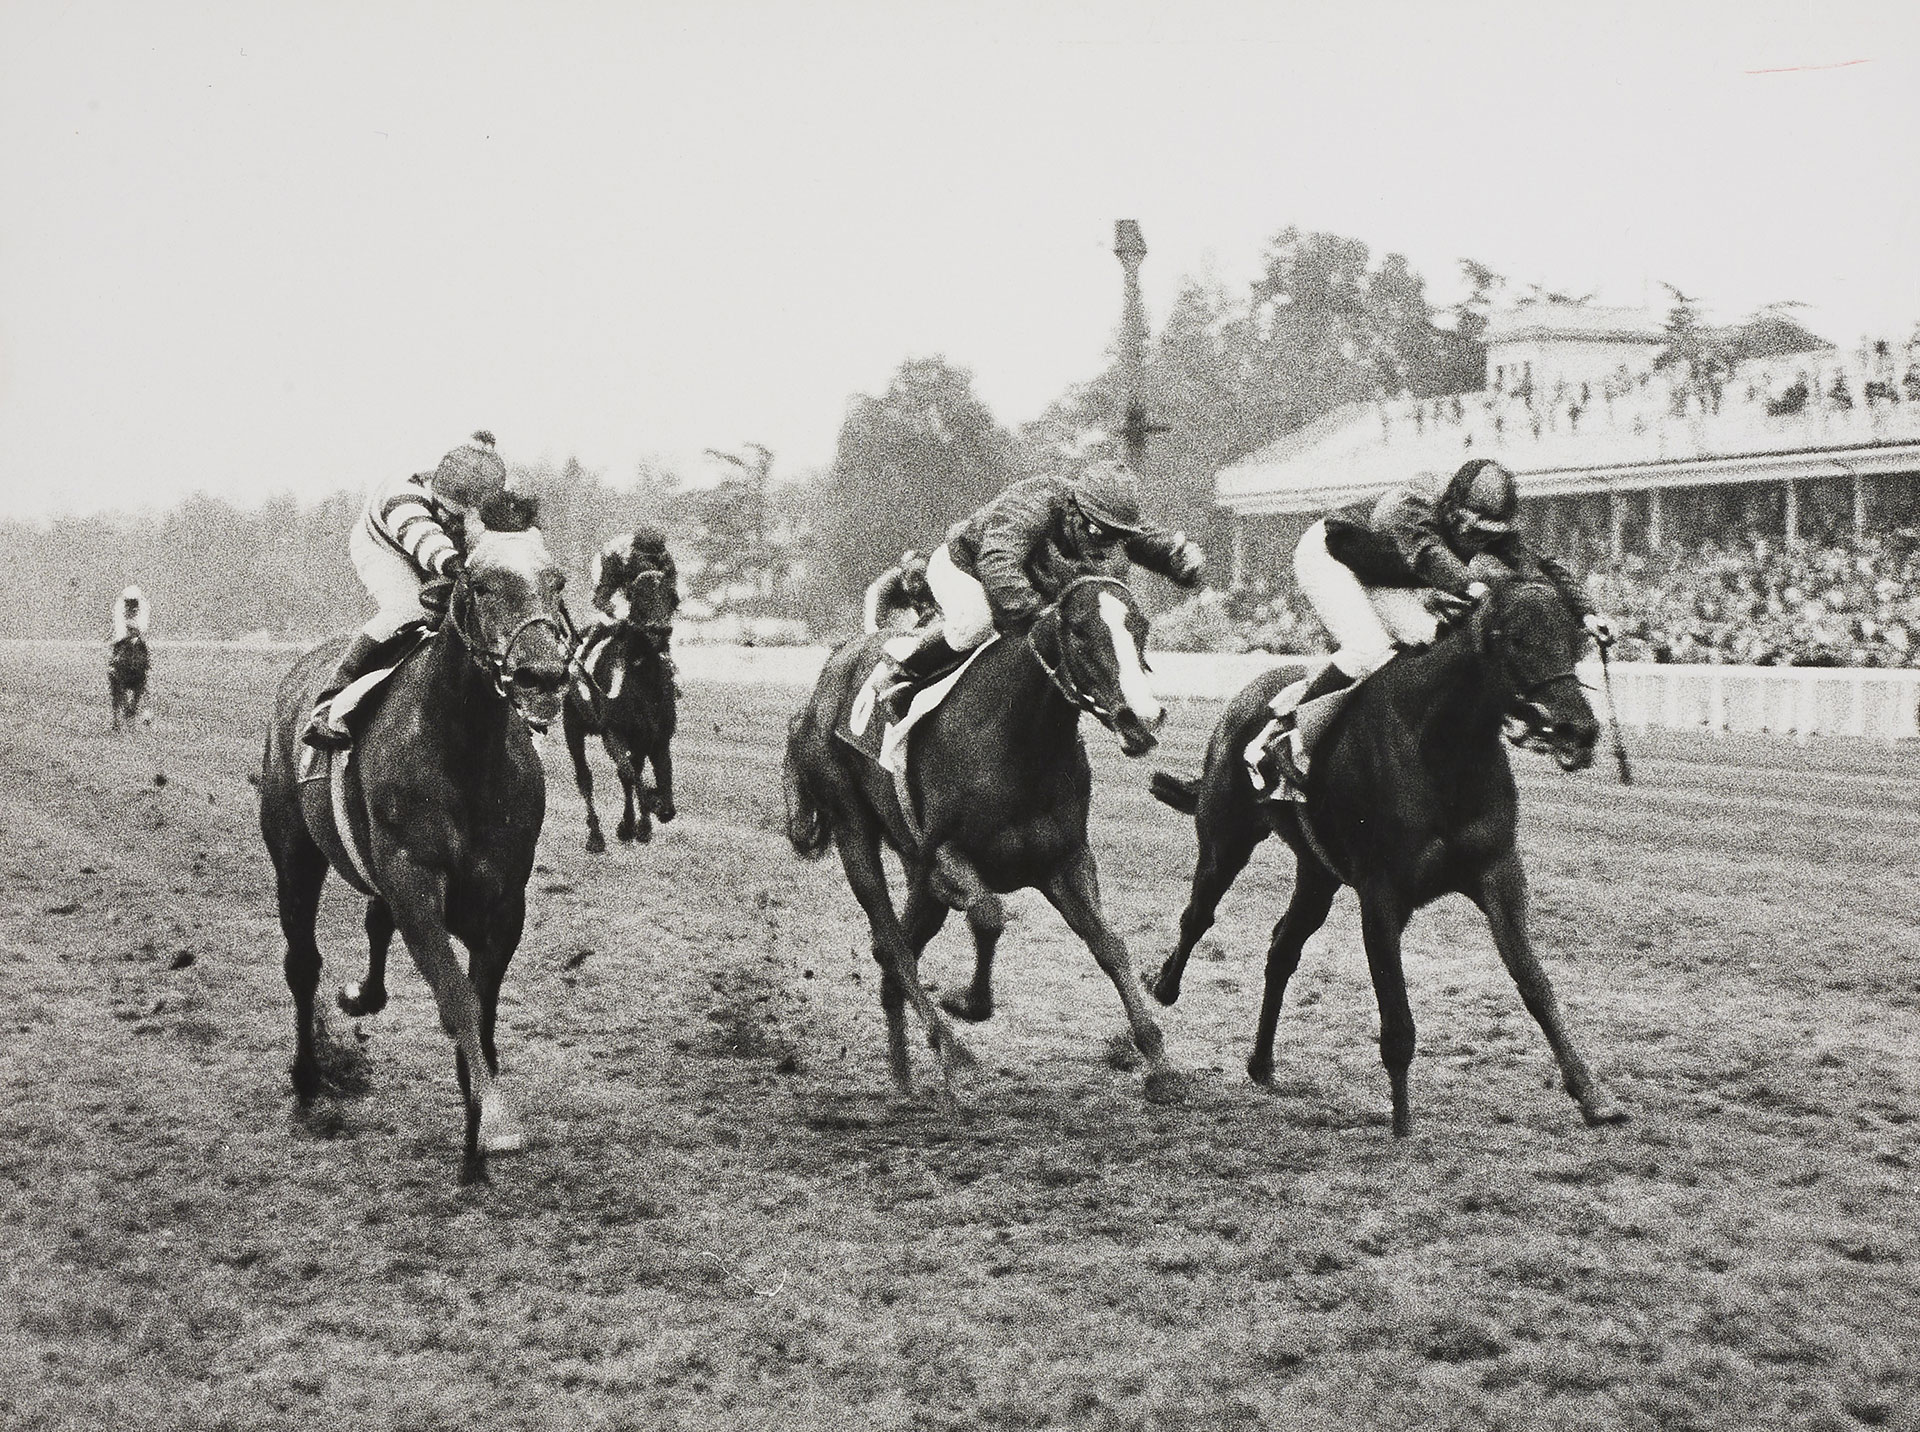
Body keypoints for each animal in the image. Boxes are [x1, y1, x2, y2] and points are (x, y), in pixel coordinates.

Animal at [257, 495, 568, 1182]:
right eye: (479, 585)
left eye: (558, 583)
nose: (540, 674)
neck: (464, 749)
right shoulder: (415, 881)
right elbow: (456, 1001)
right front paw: (493, 1125)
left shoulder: (502, 901)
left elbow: (480, 1007)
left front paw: (478, 1132)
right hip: (292, 848)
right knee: (302, 962)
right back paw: (308, 1080)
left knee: (374, 922)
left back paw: (360, 997)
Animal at [560, 556, 683, 848]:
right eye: (639, 596)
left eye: (672, 596)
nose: (661, 630)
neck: (645, 682)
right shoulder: (612, 731)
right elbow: (627, 774)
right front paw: (629, 824)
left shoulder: (658, 738)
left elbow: (662, 786)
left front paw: (647, 818)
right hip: (572, 725)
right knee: (585, 778)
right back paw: (596, 836)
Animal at [783, 575, 1182, 1097]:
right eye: (1078, 632)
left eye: (1141, 626)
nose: (1142, 718)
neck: (1018, 742)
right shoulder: (943, 855)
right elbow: (989, 915)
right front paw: (966, 1003)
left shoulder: (1065, 860)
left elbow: (1109, 944)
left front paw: (1158, 1060)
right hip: (854, 829)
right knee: (891, 941)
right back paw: (951, 1050)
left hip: (915, 873)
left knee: (896, 948)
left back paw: (903, 1077)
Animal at [1144, 575, 1628, 1128]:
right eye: (1514, 640)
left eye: (1575, 640)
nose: (1577, 728)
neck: (1441, 749)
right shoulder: (1381, 894)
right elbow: (1398, 1021)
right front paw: (1400, 1125)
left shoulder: (1498, 872)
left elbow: (1535, 985)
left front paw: (1592, 1095)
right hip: (1226, 839)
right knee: (1198, 915)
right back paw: (1163, 985)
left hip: (1318, 874)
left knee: (1283, 949)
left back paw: (1261, 1061)